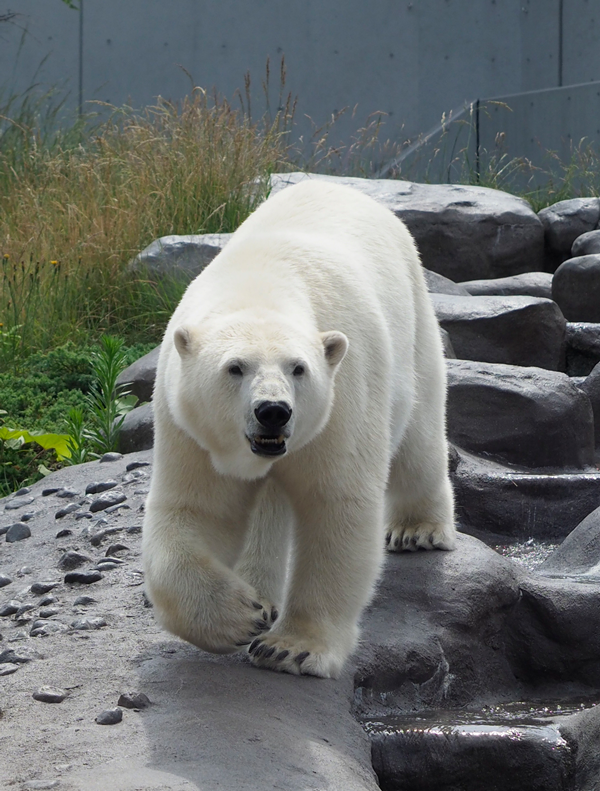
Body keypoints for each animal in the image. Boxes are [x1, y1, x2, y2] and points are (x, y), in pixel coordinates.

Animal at [143, 179, 458, 680]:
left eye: (298, 368)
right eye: (235, 367)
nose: (273, 411)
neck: (261, 282)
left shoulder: (342, 397)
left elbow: (336, 506)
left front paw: (290, 649)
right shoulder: (189, 427)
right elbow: (196, 508)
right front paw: (242, 614)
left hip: (413, 322)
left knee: (419, 433)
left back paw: (418, 529)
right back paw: (262, 592)